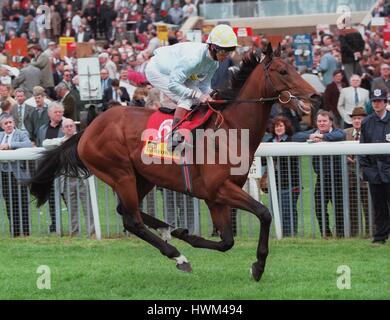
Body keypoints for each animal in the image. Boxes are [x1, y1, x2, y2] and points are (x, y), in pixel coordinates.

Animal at [29, 43, 316, 282]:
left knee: (127, 211)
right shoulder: (219, 189)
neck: (231, 130)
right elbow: (264, 214)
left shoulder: (216, 197)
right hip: (120, 173)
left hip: (142, 177)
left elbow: (227, 241)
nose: (314, 97)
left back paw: (169, 229)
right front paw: (258, 266)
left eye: (294, 67)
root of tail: (87, 129)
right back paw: (177, 255)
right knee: (132, 221)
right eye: (283, 71)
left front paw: (185, 233)